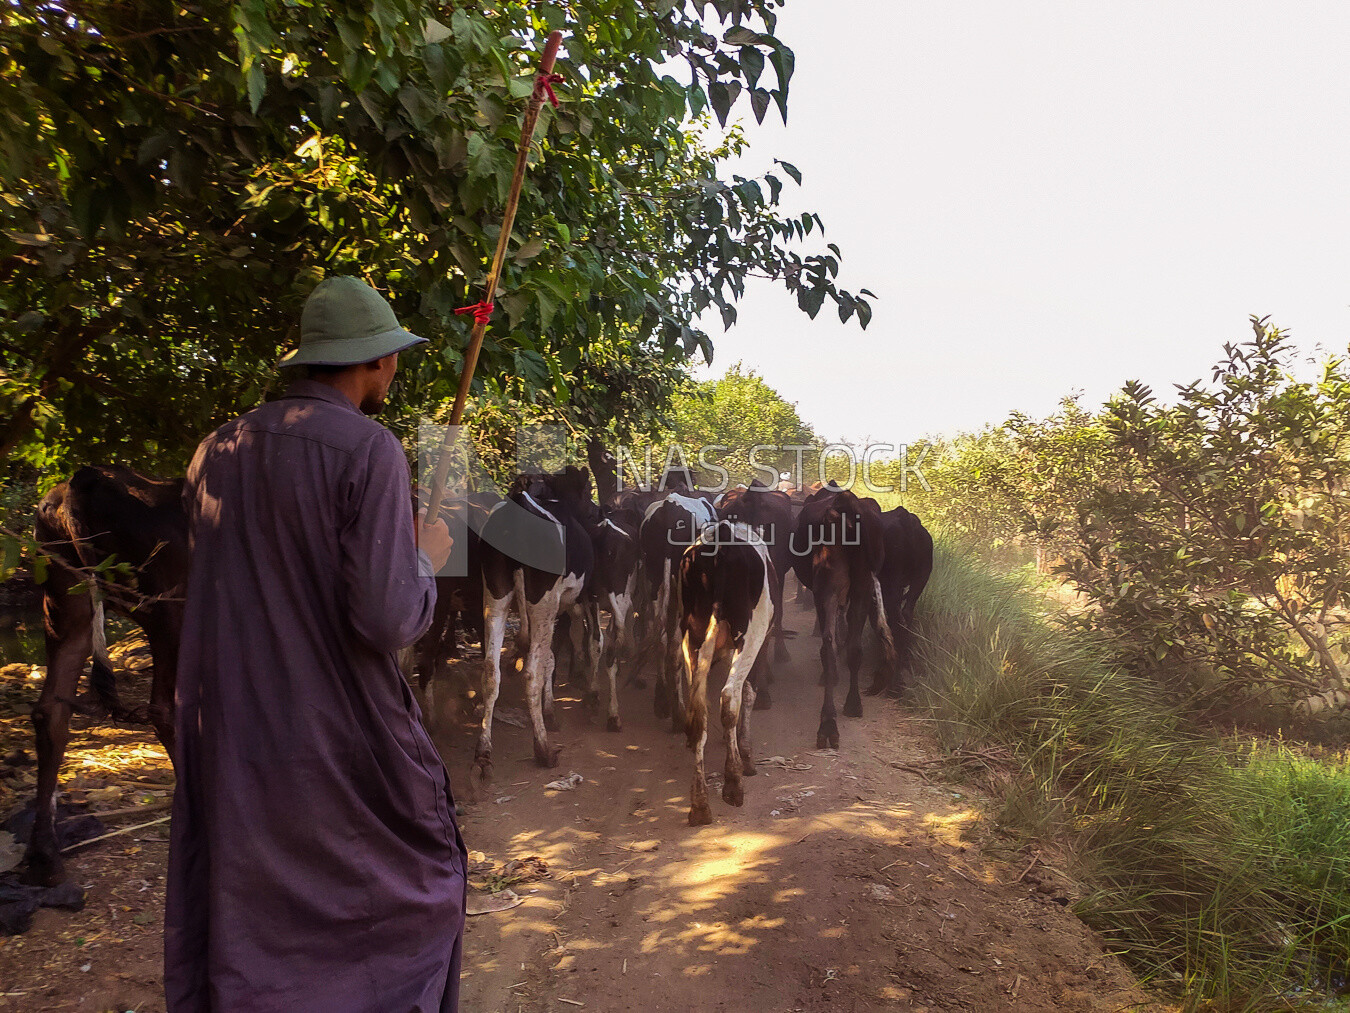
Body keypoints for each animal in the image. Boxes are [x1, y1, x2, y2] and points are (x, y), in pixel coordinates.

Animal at [24, 467, 186, 886]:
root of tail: (82, 480)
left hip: (65, 603)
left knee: (50, 712)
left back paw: (44, 857)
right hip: (164, 608)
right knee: (164, 708)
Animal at [680, 524, 777, 826]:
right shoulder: (762, 642)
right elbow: (749, 693)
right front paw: (745, 755)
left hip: (692, 636)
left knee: (699, 708)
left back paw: (700, 804)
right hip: (751, 635)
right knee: (729, 696)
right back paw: (733, 783)